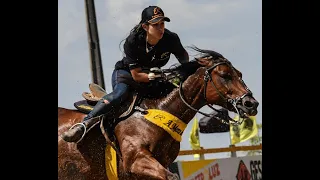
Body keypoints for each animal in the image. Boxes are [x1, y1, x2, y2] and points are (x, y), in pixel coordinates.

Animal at [57, 46, 258, 180]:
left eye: (239, 74)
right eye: (225, 75)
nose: (251, 103)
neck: (157, 111)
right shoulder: (136, 161)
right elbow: (171, 177)